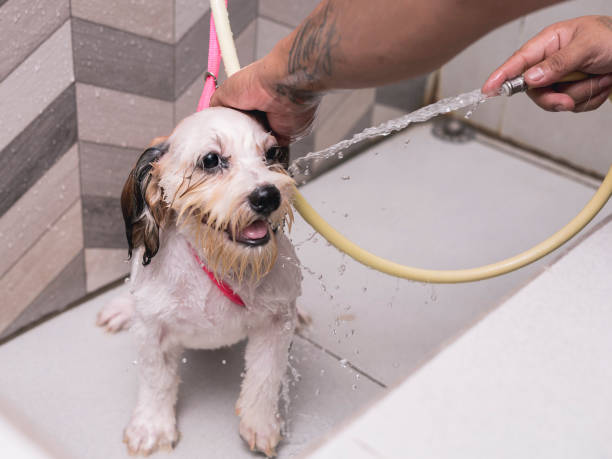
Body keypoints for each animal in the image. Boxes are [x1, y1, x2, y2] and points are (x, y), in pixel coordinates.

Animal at [96, 108, 304, 456]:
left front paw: (260, 423)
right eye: (210, 160)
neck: (216, 263)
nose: (268, 195)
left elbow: (265, 376)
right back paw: (122, 309)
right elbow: (156, 379)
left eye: (272, 153)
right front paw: (152, 426)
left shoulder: (275, 322)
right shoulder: (153, 329)